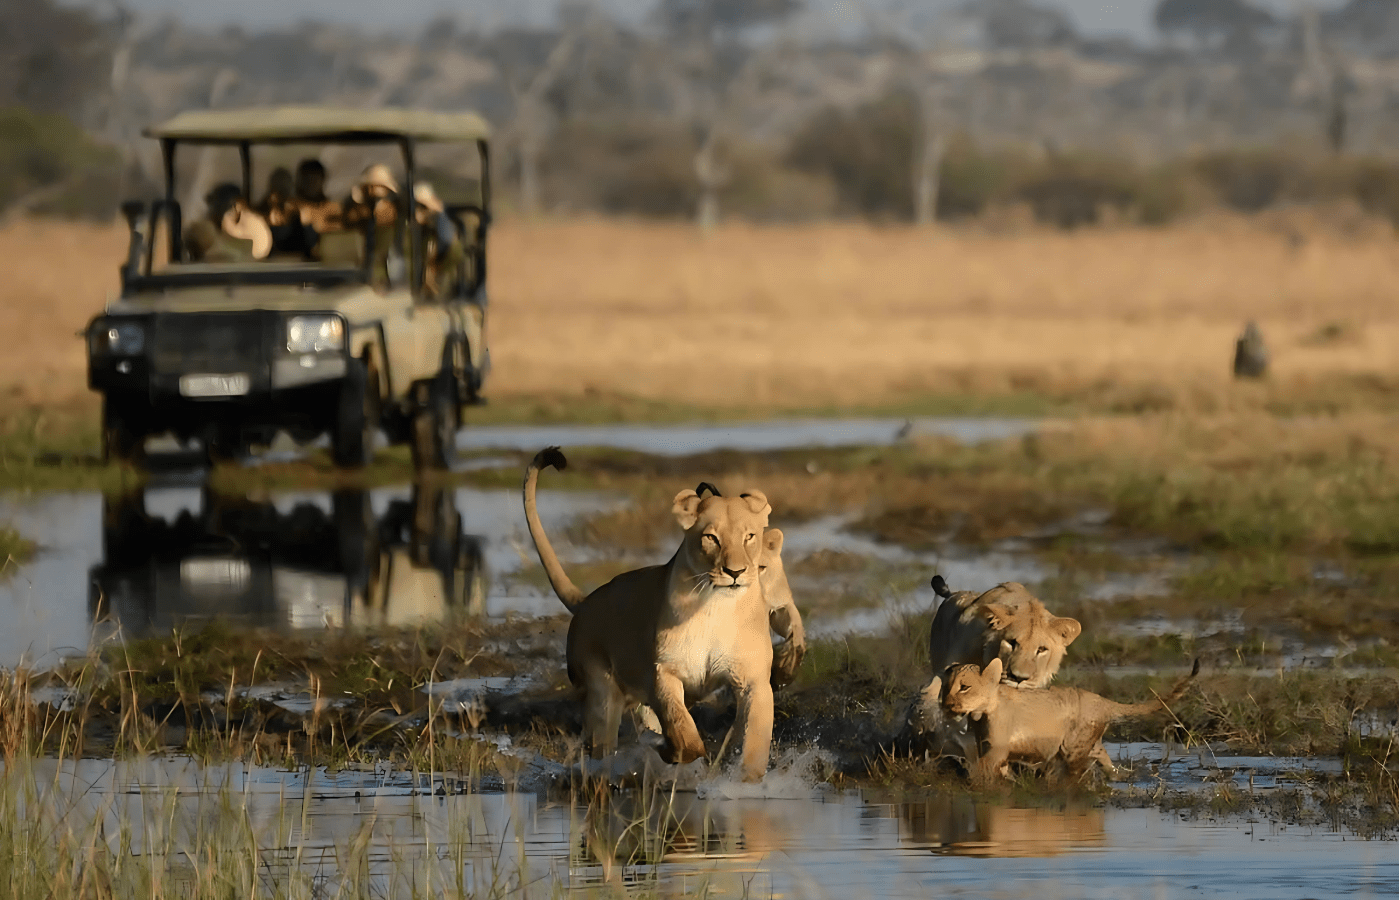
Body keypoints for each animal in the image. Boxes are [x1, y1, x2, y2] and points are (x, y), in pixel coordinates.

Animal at [522, 448, 777, 782]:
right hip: (601, 692)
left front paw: (745, 781)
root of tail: (587, 600)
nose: (735, 572)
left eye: (749, 536)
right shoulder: (664, 673)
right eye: (711, 538)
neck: (717, 605)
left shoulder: (754, 680)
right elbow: (683, 731)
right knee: (602, 745)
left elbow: (754, 742)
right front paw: (669, 751)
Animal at [939, 656, 1201, 785]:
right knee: (1106, 764)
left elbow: (981, 769)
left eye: (964, 687)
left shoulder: (998, 749)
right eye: (945, 688)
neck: (979, 713)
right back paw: (1119, 777)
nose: (945, 704)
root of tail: (1101, 700)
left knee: (1075, 773)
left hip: (1073, 748)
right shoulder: (988, 747)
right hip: (1091, 744)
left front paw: (972, 782)